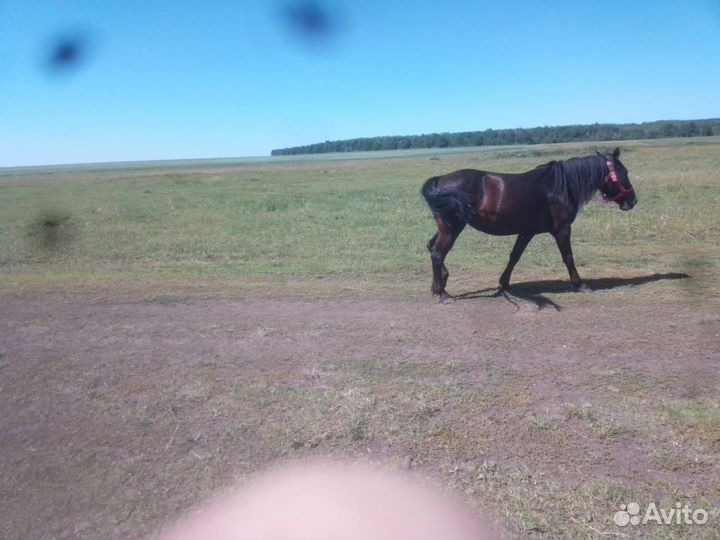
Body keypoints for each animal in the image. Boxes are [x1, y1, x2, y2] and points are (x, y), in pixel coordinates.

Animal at [421, 147, 637, 301]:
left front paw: (504, 283)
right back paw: (442, 293)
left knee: (431, 247)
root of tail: (440, 181)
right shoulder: (562, 229)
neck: (562, 186)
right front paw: (579, 284)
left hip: (447, 228)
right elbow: (568, 257)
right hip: (452, 228)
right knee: (438, 252)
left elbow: (514, 256)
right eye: (624, 172)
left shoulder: (527, 231)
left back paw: (440, 282)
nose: (632, 201)